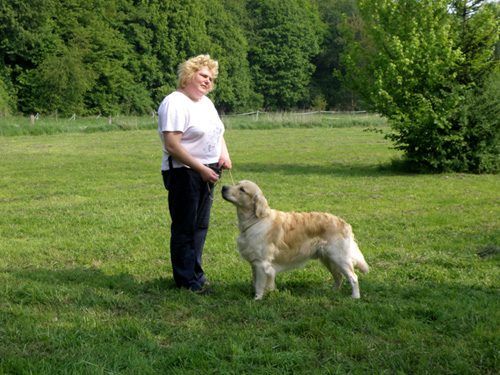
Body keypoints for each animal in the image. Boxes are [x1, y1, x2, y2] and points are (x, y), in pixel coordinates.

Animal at [221, 181, 370, 302]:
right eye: (236, 184)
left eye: (242, 189)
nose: (223, 187)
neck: (256, 220)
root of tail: (344, 223)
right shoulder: (255, 263)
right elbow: (254, 281)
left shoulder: (262, 263)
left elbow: (259, 284)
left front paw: (257, 298)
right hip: (328, 258)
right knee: (338, 276)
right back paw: (333, 292)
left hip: (339, 257)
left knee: (353, 277)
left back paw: (355, 297)